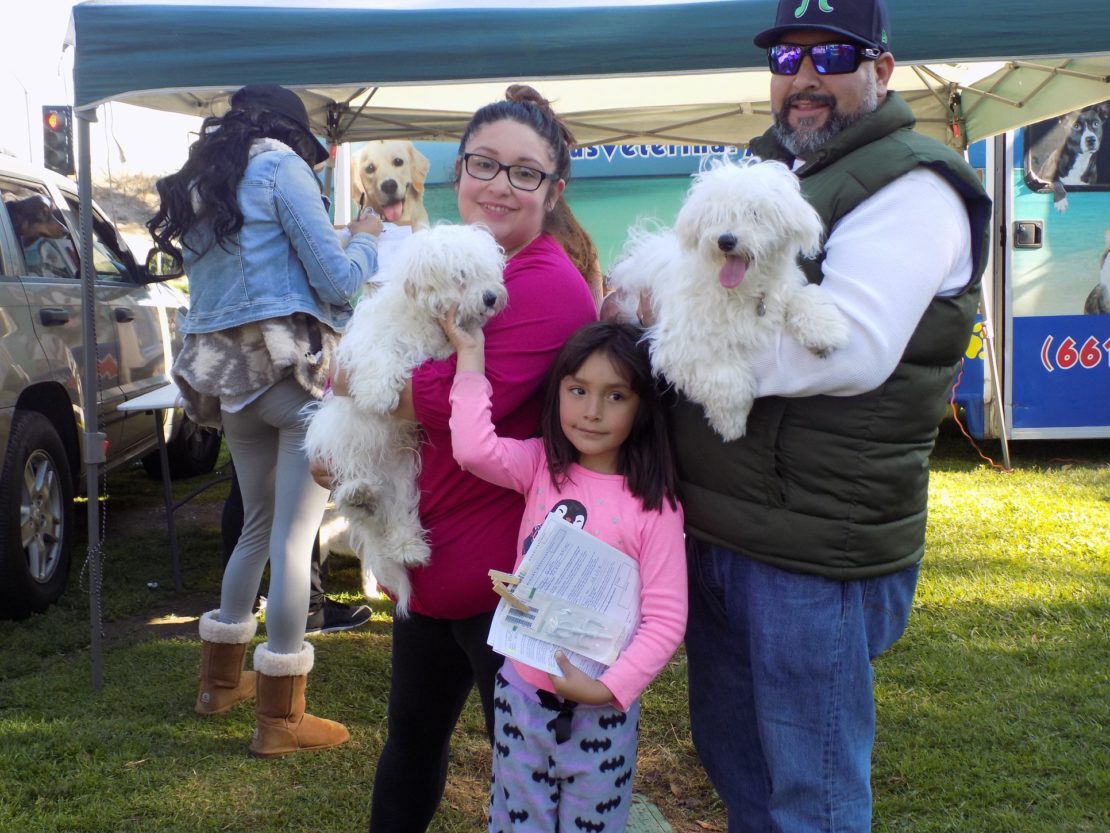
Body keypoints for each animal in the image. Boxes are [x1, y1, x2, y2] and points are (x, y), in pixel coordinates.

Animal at [308, 225, 508, 617]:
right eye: (462, 276)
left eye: (488, 273)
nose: (491, 297)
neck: (424, 320)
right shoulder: (371, 346)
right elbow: (381, 358)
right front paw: (377, 394)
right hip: (342, 441)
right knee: (350, 482)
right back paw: (358, 492)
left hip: (402, 477)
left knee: (395, 512)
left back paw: (408, 547)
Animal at [608, 157, 848, 444]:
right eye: (715, 216)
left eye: (754, 213)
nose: (725, 240)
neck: (742, 292)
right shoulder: (681, 342)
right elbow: (726, 379)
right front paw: (731, 423)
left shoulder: (781, 293)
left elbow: (806, 295)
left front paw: (823, 330)